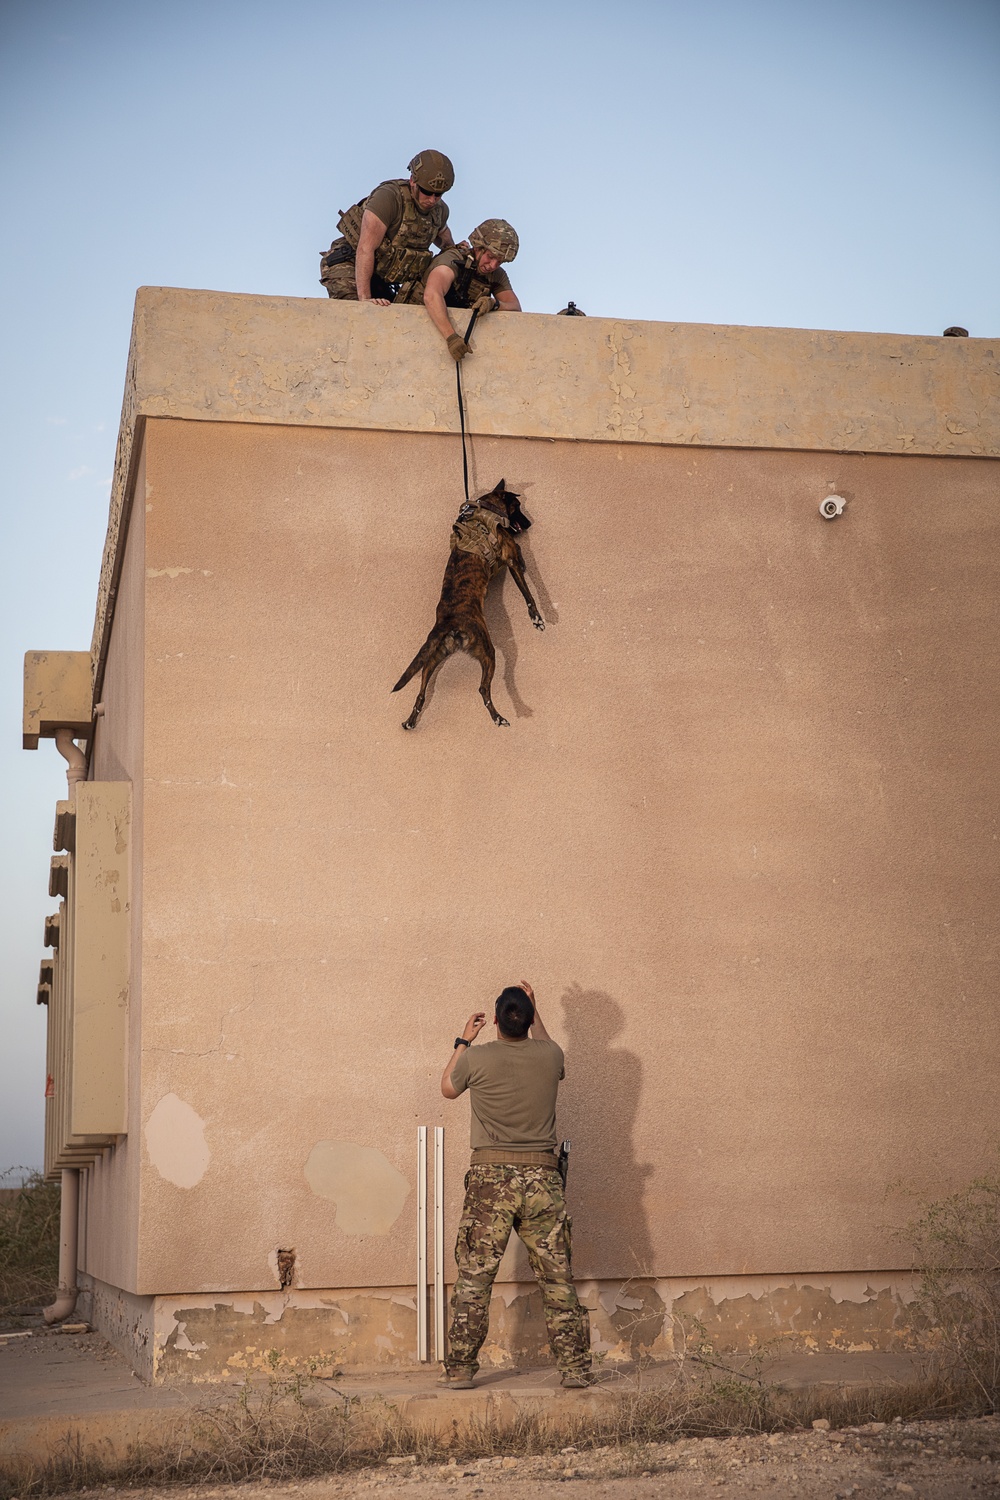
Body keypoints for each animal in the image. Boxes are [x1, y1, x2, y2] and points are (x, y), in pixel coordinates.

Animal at [392, 477, 548, 729]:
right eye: (518, 507)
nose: (529, 524)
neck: (487, 509)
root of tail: (448, 624)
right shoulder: (511, 559)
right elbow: (528, 593)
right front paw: (537, 618)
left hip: (433, 658)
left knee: (421, 692)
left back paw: (411, 720)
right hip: (487, 650)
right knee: (483, 689)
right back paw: (498, 717)